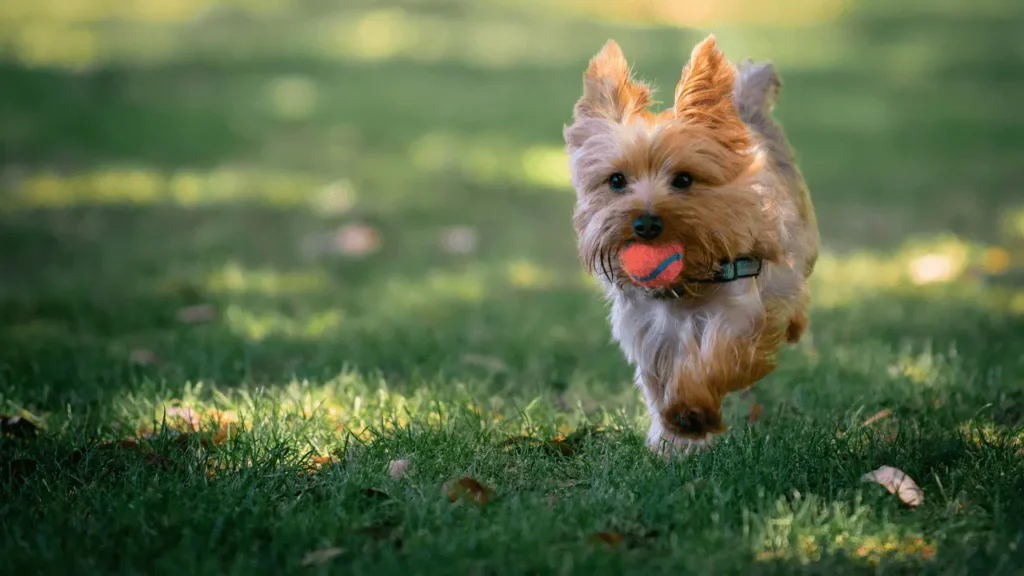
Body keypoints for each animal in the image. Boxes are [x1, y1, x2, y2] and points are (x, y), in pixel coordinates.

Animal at [565, 35, 819, 455]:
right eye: (616, 180)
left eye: (683, 179)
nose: (646, 224)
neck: (686, 283)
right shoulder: (649, 330)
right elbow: (659, 378)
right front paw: (673, 435)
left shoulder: (744, 304)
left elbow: (720, 355)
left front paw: (691, 410)